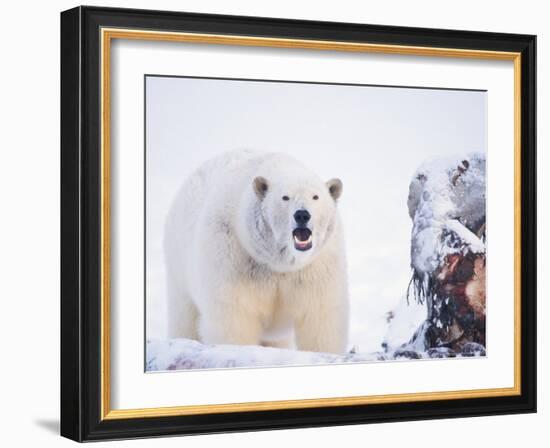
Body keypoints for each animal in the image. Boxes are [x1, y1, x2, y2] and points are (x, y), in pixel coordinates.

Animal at [164, 150, 350, 354]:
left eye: (315, 196)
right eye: (285, 197)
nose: (302, 215)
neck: (277, 263)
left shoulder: (316, 268)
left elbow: (320, 318)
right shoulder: (233, 256)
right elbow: (234, 316)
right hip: (179, 265)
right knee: (184, 316)